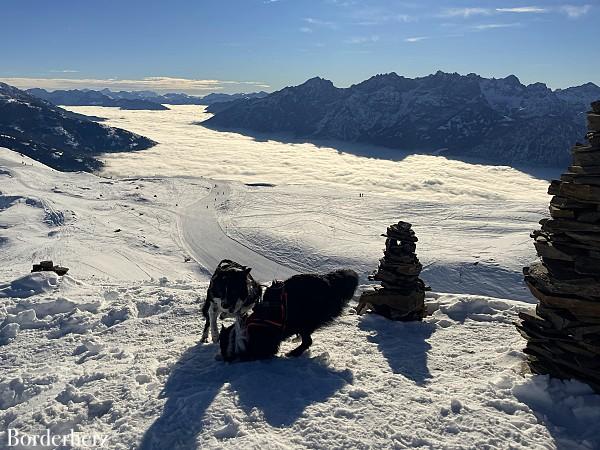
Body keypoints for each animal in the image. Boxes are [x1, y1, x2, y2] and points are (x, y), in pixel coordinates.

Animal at [223, 268, 358, 360]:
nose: (221, 357)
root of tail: (329, 281)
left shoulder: (264, 345)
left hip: (304, 320)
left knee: (308, 341)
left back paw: (293, 352)